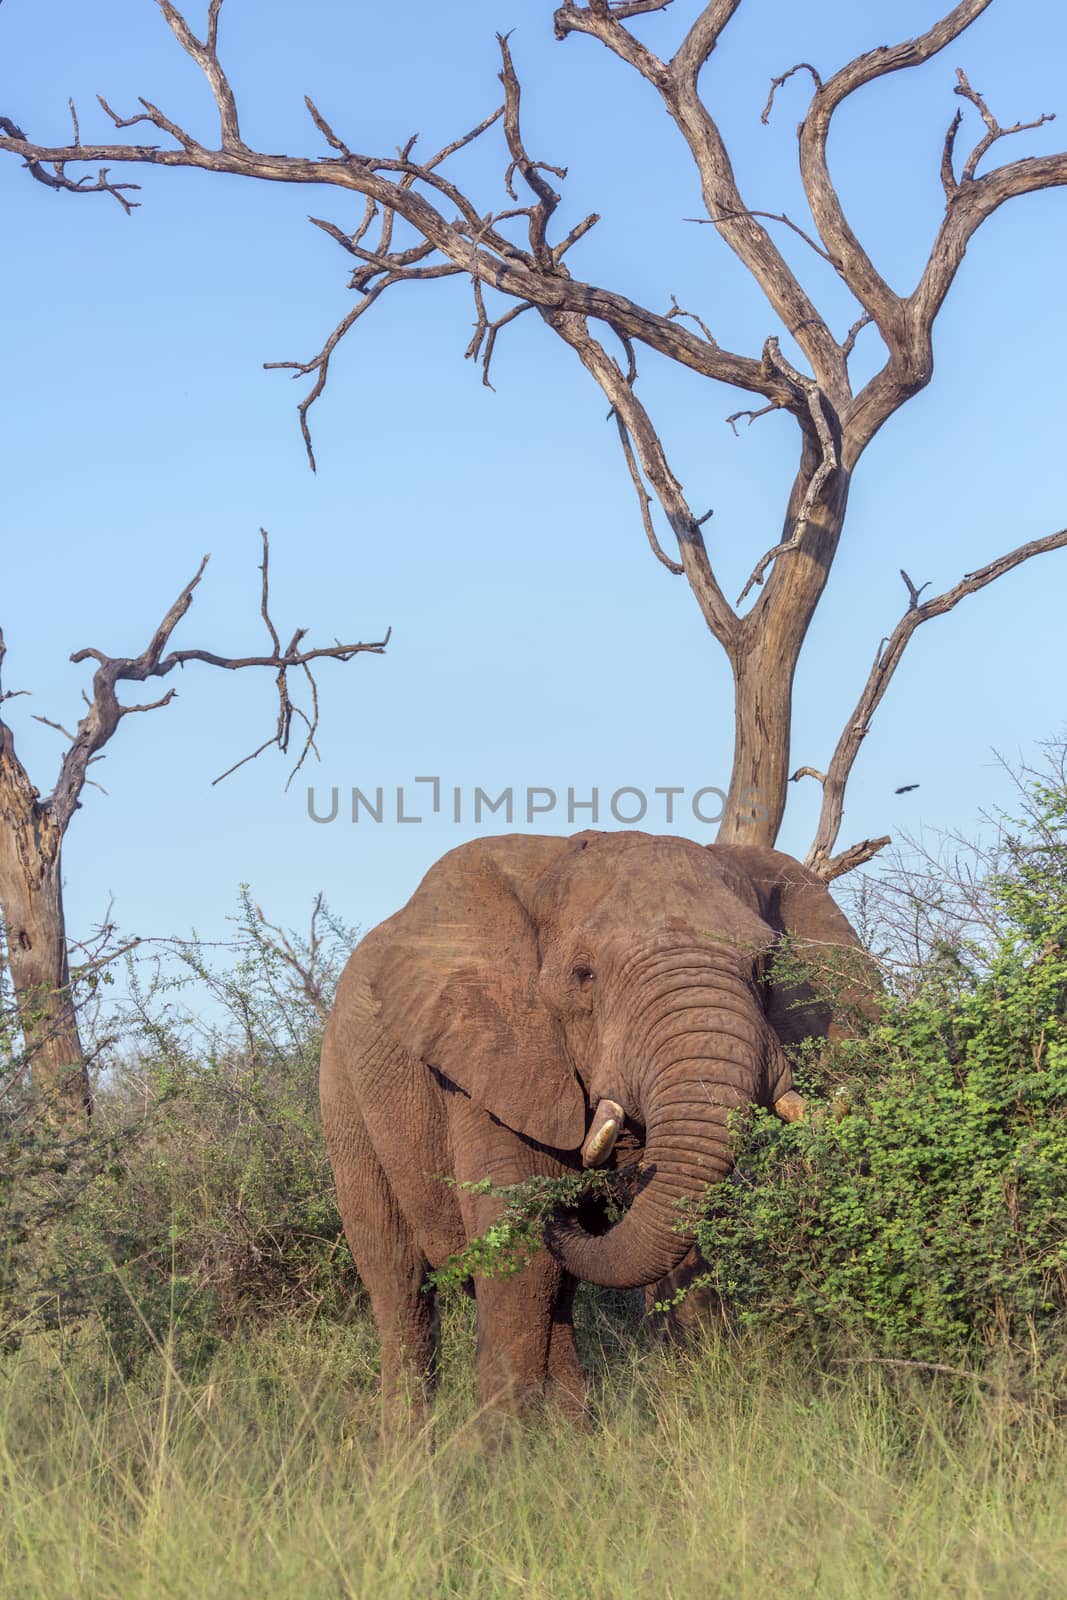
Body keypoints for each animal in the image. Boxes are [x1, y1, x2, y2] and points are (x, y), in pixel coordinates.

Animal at [319, 832, 876, 1420]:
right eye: (583, 975)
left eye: (765, 966)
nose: (570, 1205)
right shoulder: (488, 1060)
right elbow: (517, 1251)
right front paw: (496, 1445)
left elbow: (672, 1239)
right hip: (343, 1094)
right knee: (398, 1279)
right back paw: (411, 1442)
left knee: (557, 1291)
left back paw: (572, 1434)